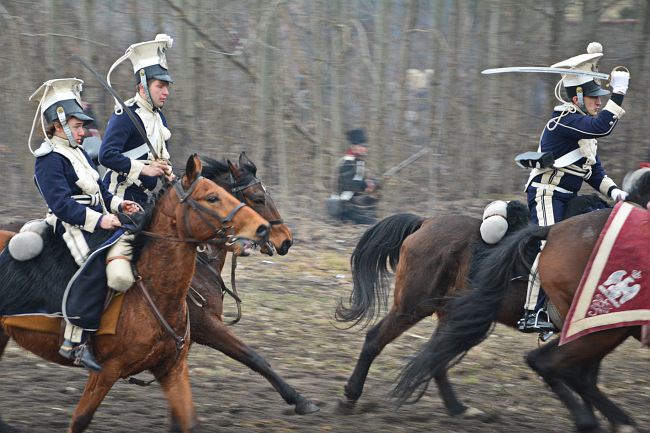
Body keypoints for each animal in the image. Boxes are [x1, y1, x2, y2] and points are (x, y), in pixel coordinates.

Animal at [0, 155, 270, 432]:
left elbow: (189, 422)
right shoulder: (106, 372)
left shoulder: (172, 370)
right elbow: (80, 420)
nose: (265, 230)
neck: (152, 292)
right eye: (212, 197)